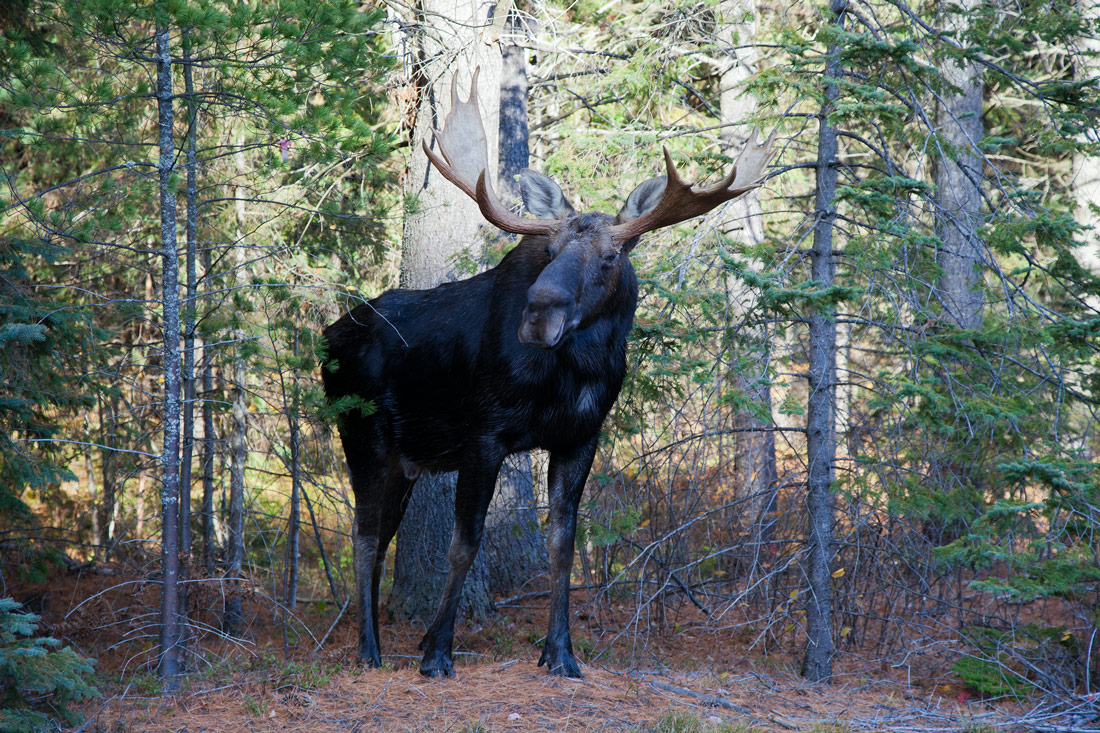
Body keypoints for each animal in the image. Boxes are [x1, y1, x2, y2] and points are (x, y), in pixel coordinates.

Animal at [321, 69, 774, 677]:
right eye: (550, 248)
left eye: (611, 257)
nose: (539, 311)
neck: (573, 375)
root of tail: (326, 337)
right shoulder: (484, 434)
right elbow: (465, 543)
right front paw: (438, 650)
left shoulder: (580, 437)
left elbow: (564, 542)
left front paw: (561, 651)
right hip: (362, 433)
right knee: (365, 535)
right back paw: (368, 649)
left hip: (405, 458)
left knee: (382, 533)